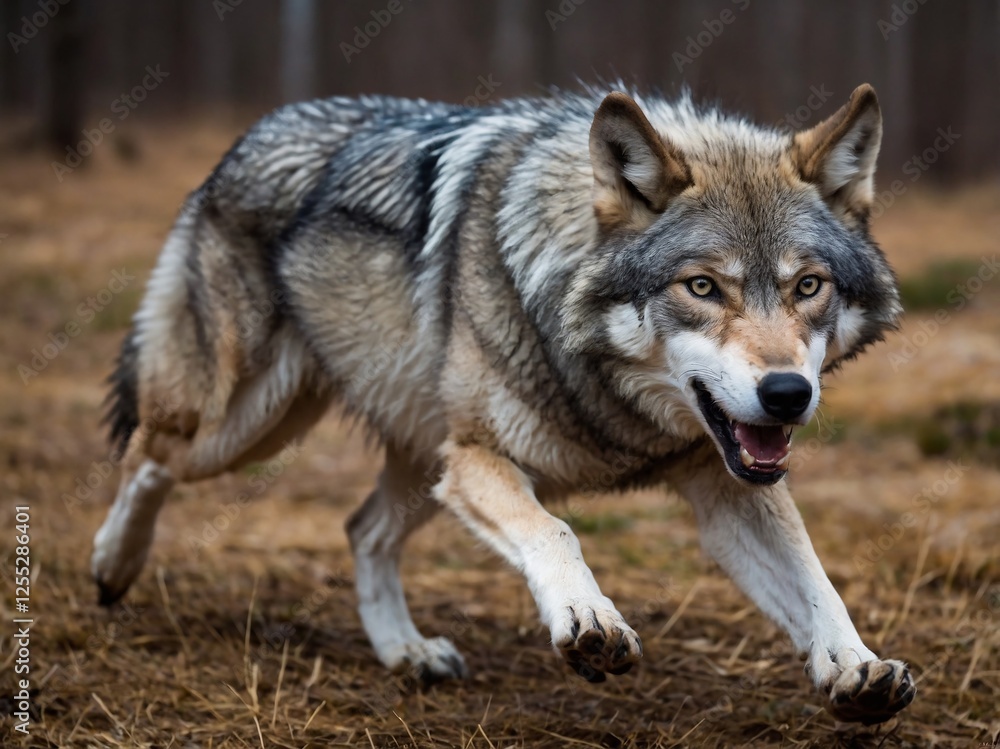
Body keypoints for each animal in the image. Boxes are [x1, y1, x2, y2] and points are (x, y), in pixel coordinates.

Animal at [92, 83, 913, 725]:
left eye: (809, 286)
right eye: (703, 287)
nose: (788, 394)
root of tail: (256, 127)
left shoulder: (727, 488)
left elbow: (815, 575)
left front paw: (854, 663)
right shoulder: (482, 460)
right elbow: (556, 533)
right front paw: (590, 617)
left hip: (420, 460)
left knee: (362, 529)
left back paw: (405, 651)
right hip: (251, 423)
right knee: (149, 455)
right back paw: (110, 564)